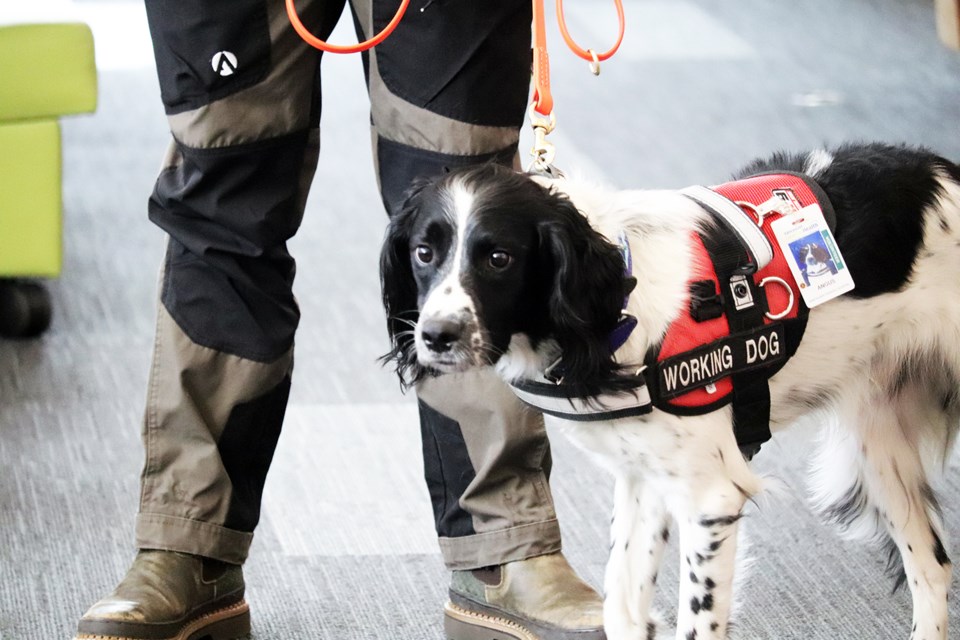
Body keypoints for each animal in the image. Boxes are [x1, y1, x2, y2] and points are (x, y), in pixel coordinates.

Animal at [378, 142, 956, 636]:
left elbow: (695, 621)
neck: (616, 309)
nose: (435, 336)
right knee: (931, 569)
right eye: (424, 252)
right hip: (880, 448)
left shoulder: (710, 497)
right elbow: (622, 604)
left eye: (499, 258)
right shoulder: (642, 480)